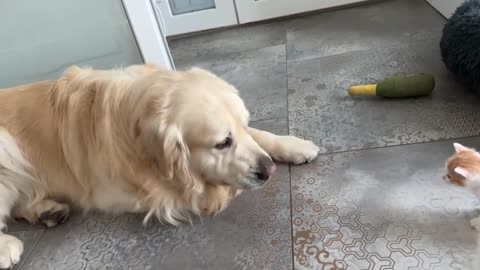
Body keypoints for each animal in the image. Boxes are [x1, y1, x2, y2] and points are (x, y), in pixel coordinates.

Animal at [0, 63, 318, 268]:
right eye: (221, 143)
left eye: (243, 125)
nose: (268, 171)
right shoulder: (131, 192)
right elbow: (199, 188)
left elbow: (260, 136)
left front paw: (293, 145)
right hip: (6, 148)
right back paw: (8, 245)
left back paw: (47, 210)